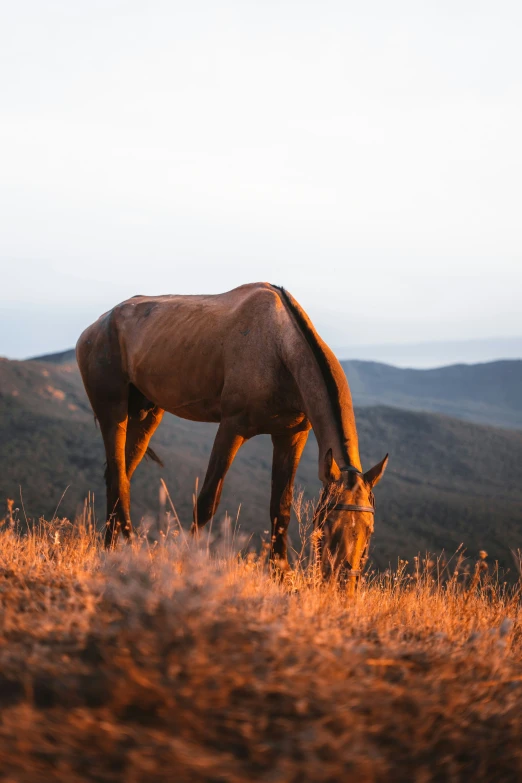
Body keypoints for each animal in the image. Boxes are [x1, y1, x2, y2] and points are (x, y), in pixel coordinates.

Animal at [76, 282, 386, 576]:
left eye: (369, 530)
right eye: (328, 524)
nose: (342, 583)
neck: (280, 348)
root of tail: (95, 327)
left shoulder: (291, 436)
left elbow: (281, 508)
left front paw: (281, 574)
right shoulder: (231, 428)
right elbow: (206, 502)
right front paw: (186, 562)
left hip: (146, 414)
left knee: (119, 475)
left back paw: (111, 549)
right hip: (113, 411)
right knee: (118, 477)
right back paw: (128, 549)